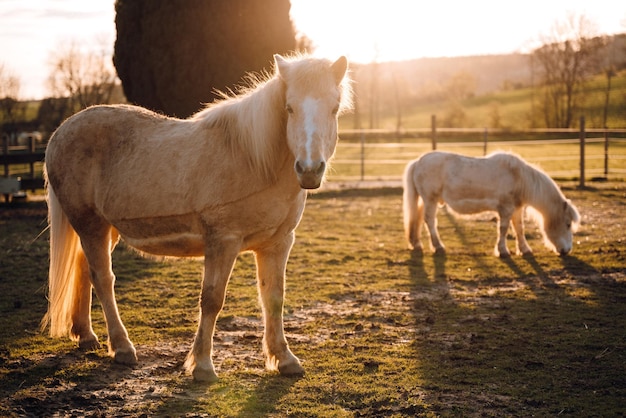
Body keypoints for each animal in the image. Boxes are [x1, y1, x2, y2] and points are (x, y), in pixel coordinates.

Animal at [41, 54, 352, 382]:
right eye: (289, 107)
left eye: (334, 108)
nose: (309, 169)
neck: (254, 161)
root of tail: (60, 134)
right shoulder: (222, 241)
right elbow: (212, 299)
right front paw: (202, 364)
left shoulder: (277, 244)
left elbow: (274, 298)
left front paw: (284, 359)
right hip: (91, 227)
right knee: (103, 279)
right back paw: (123, 347)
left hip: (104, 231)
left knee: (84, 271)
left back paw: (86, 335)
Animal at [402, 150, 576, 255]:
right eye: (567, 224)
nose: (566, 250)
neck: (518, 177)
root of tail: (418, 162)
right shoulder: (505, 209)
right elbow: (503, 229)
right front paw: (503, 251)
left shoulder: (516, 209)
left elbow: (519, 228)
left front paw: (524, 249)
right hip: (430, 200)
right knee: (430, 221)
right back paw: (438, 246)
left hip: (424, 201)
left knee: (418, 220)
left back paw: (417, 244)